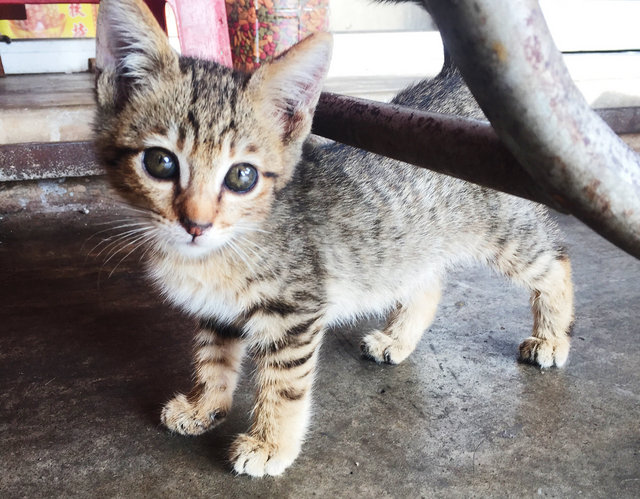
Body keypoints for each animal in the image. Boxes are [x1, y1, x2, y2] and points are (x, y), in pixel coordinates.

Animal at [92, 0, 572, 478]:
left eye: (242, 176)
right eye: (160, 162)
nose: (196, 224)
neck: (217, 254)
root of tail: (452, 81)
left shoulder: (294, 313)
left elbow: (283, 385)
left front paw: (272, 443)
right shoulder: (217, 312)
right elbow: (214, 359)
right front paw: (204, 405)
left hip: (506, 227)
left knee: (556, 260)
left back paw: (552, 337)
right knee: (427, 282)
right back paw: (398, 339)